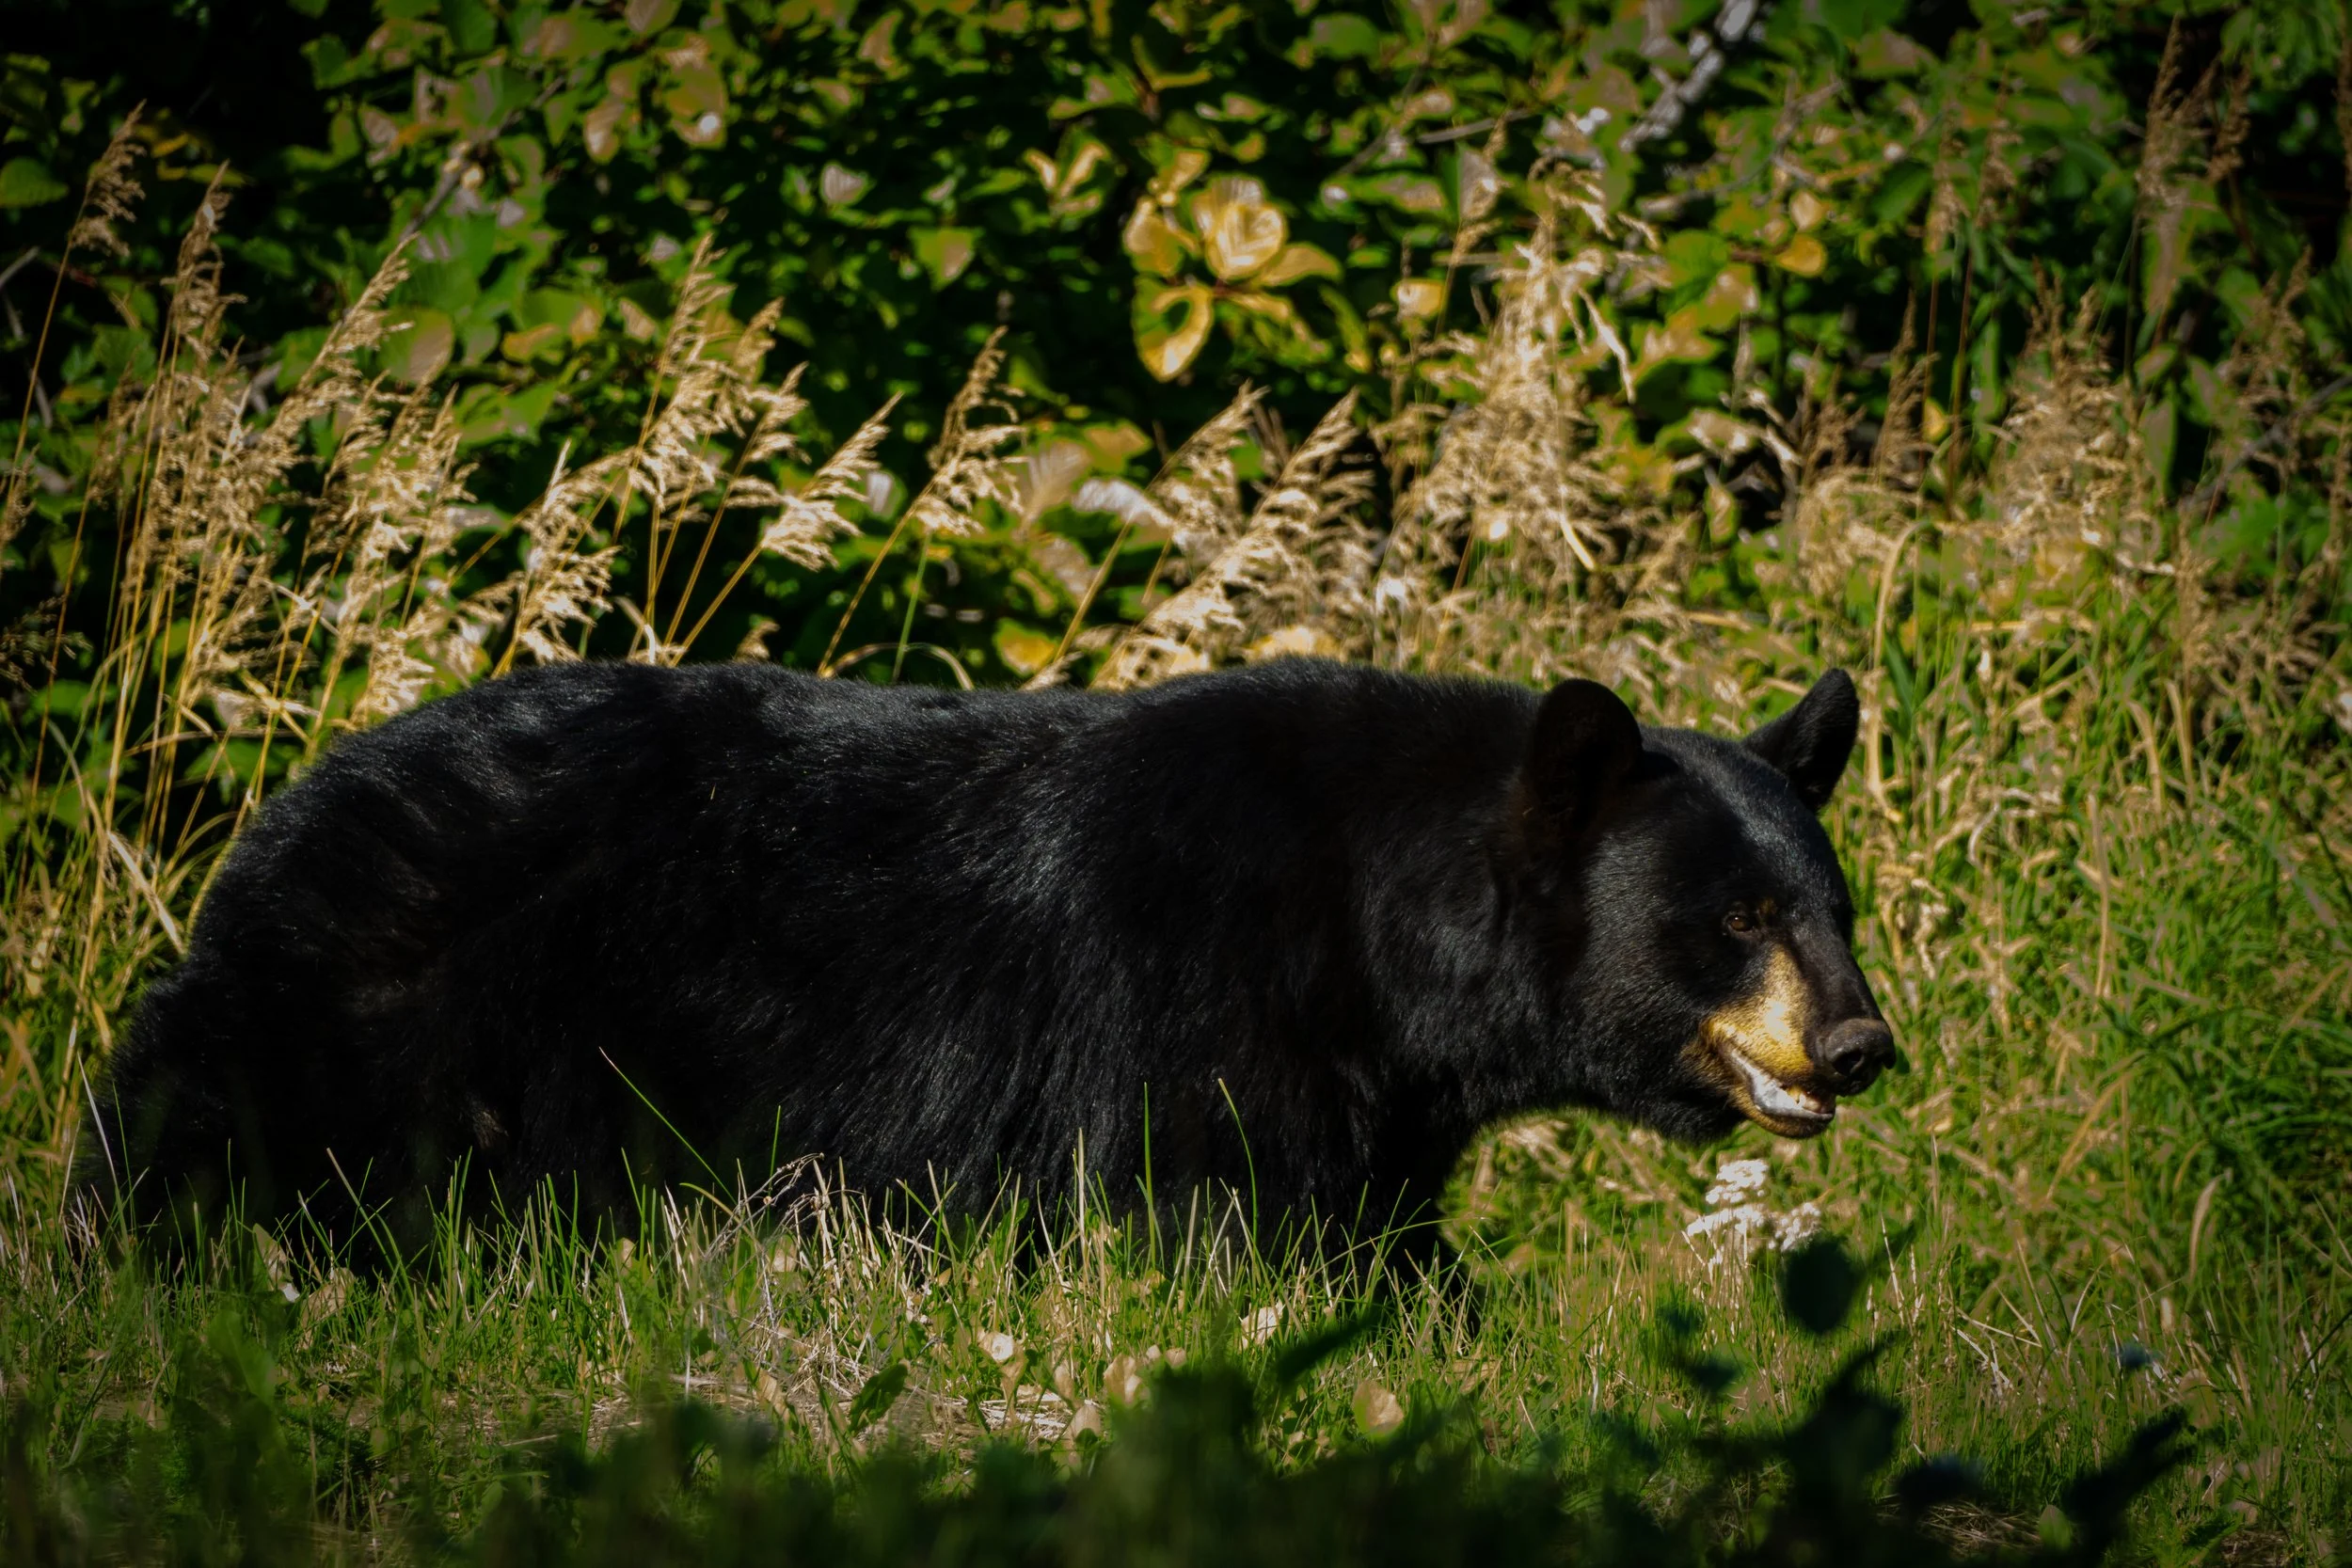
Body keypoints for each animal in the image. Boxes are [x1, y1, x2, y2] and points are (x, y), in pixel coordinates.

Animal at [76, 658, 1894, 1260]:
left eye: (1831, 904)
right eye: (1735, 917)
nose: (1862, 1042)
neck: (1384, 942)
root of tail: (277, 814)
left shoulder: (1369, 1093)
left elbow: (1366, 1225)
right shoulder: (1189, 1012)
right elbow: (1215, 1220)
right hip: (376, 1006)